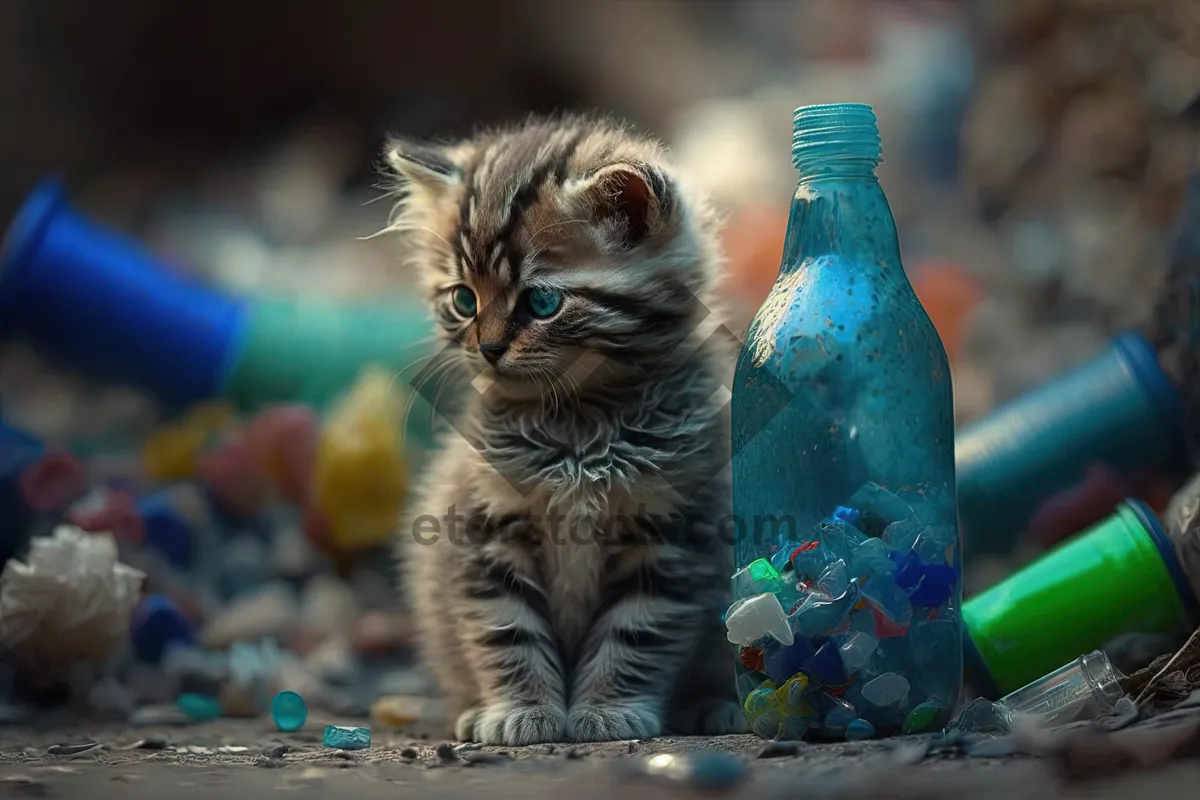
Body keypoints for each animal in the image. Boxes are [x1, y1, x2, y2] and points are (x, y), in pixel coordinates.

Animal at [384, 110, 744, 743]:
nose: (488, 349)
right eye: (463, 301)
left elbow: (636, 630)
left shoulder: (673, 533)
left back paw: (718, 705)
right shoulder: (484, 527)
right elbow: (506, 630)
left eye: (542, 303)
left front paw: (607, 710)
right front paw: (521, 710)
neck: (579, 424)